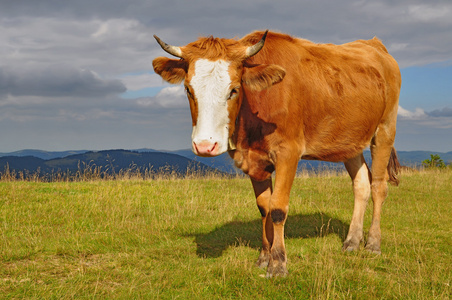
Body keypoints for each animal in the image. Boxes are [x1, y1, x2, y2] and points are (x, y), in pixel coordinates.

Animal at [154, 29, 400, 276]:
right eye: (188, 89)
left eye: (234, 90)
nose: (205, 145)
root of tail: (374, 44)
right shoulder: (254, 159)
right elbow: (264, 207)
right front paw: (265, 257)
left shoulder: (288, 153)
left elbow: (278, 208)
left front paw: (279, 263)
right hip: (349, 140)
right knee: (361, 185)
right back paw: (351, 242)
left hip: (385, 129)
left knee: (379, 186)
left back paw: (373, 244)